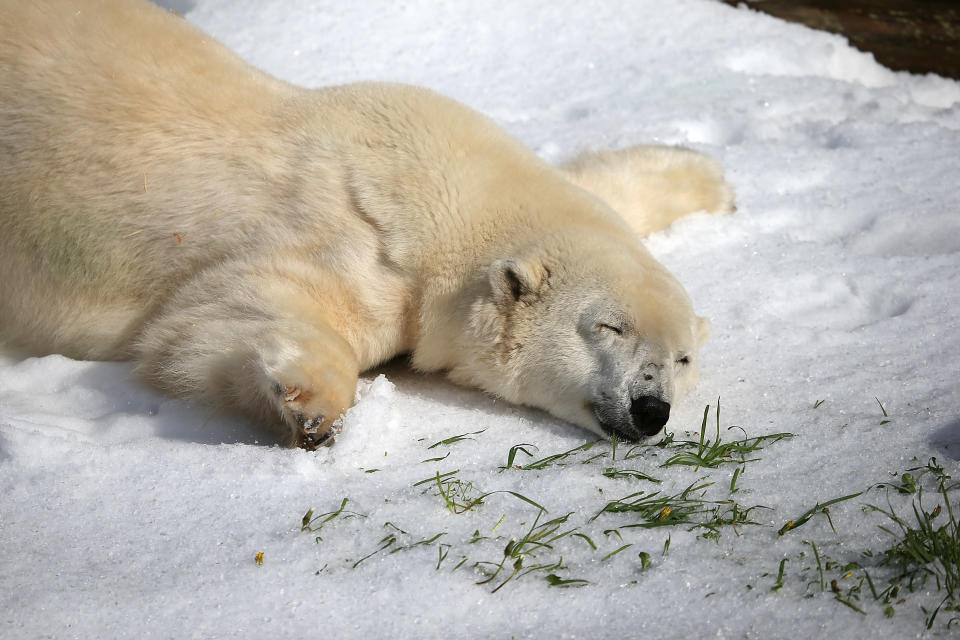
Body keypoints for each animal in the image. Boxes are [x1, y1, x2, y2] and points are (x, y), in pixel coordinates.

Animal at [1, 0, 736, 448]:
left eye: (683, 357)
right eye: (607, 328)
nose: (651, 409)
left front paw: (712, 181)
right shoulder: (364, 245)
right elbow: (211, 317)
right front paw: (311, 406)